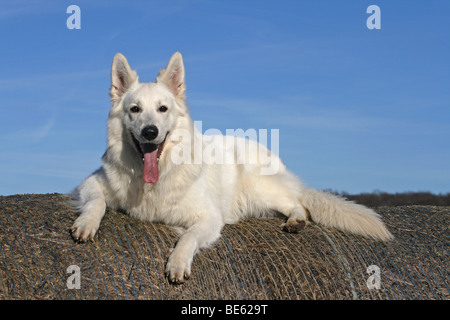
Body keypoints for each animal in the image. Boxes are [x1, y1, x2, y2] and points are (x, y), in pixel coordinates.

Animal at [71, 51, 394, 284]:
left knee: (300, 203)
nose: (150, 132)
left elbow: (188, 237)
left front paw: (177, 261)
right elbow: (97, 202)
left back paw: (296, 221)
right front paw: (86, 224)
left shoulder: (208, 217)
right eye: (134, 109)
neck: (155, 176)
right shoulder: (92, 183)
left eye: (163, 109)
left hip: (260, 187)